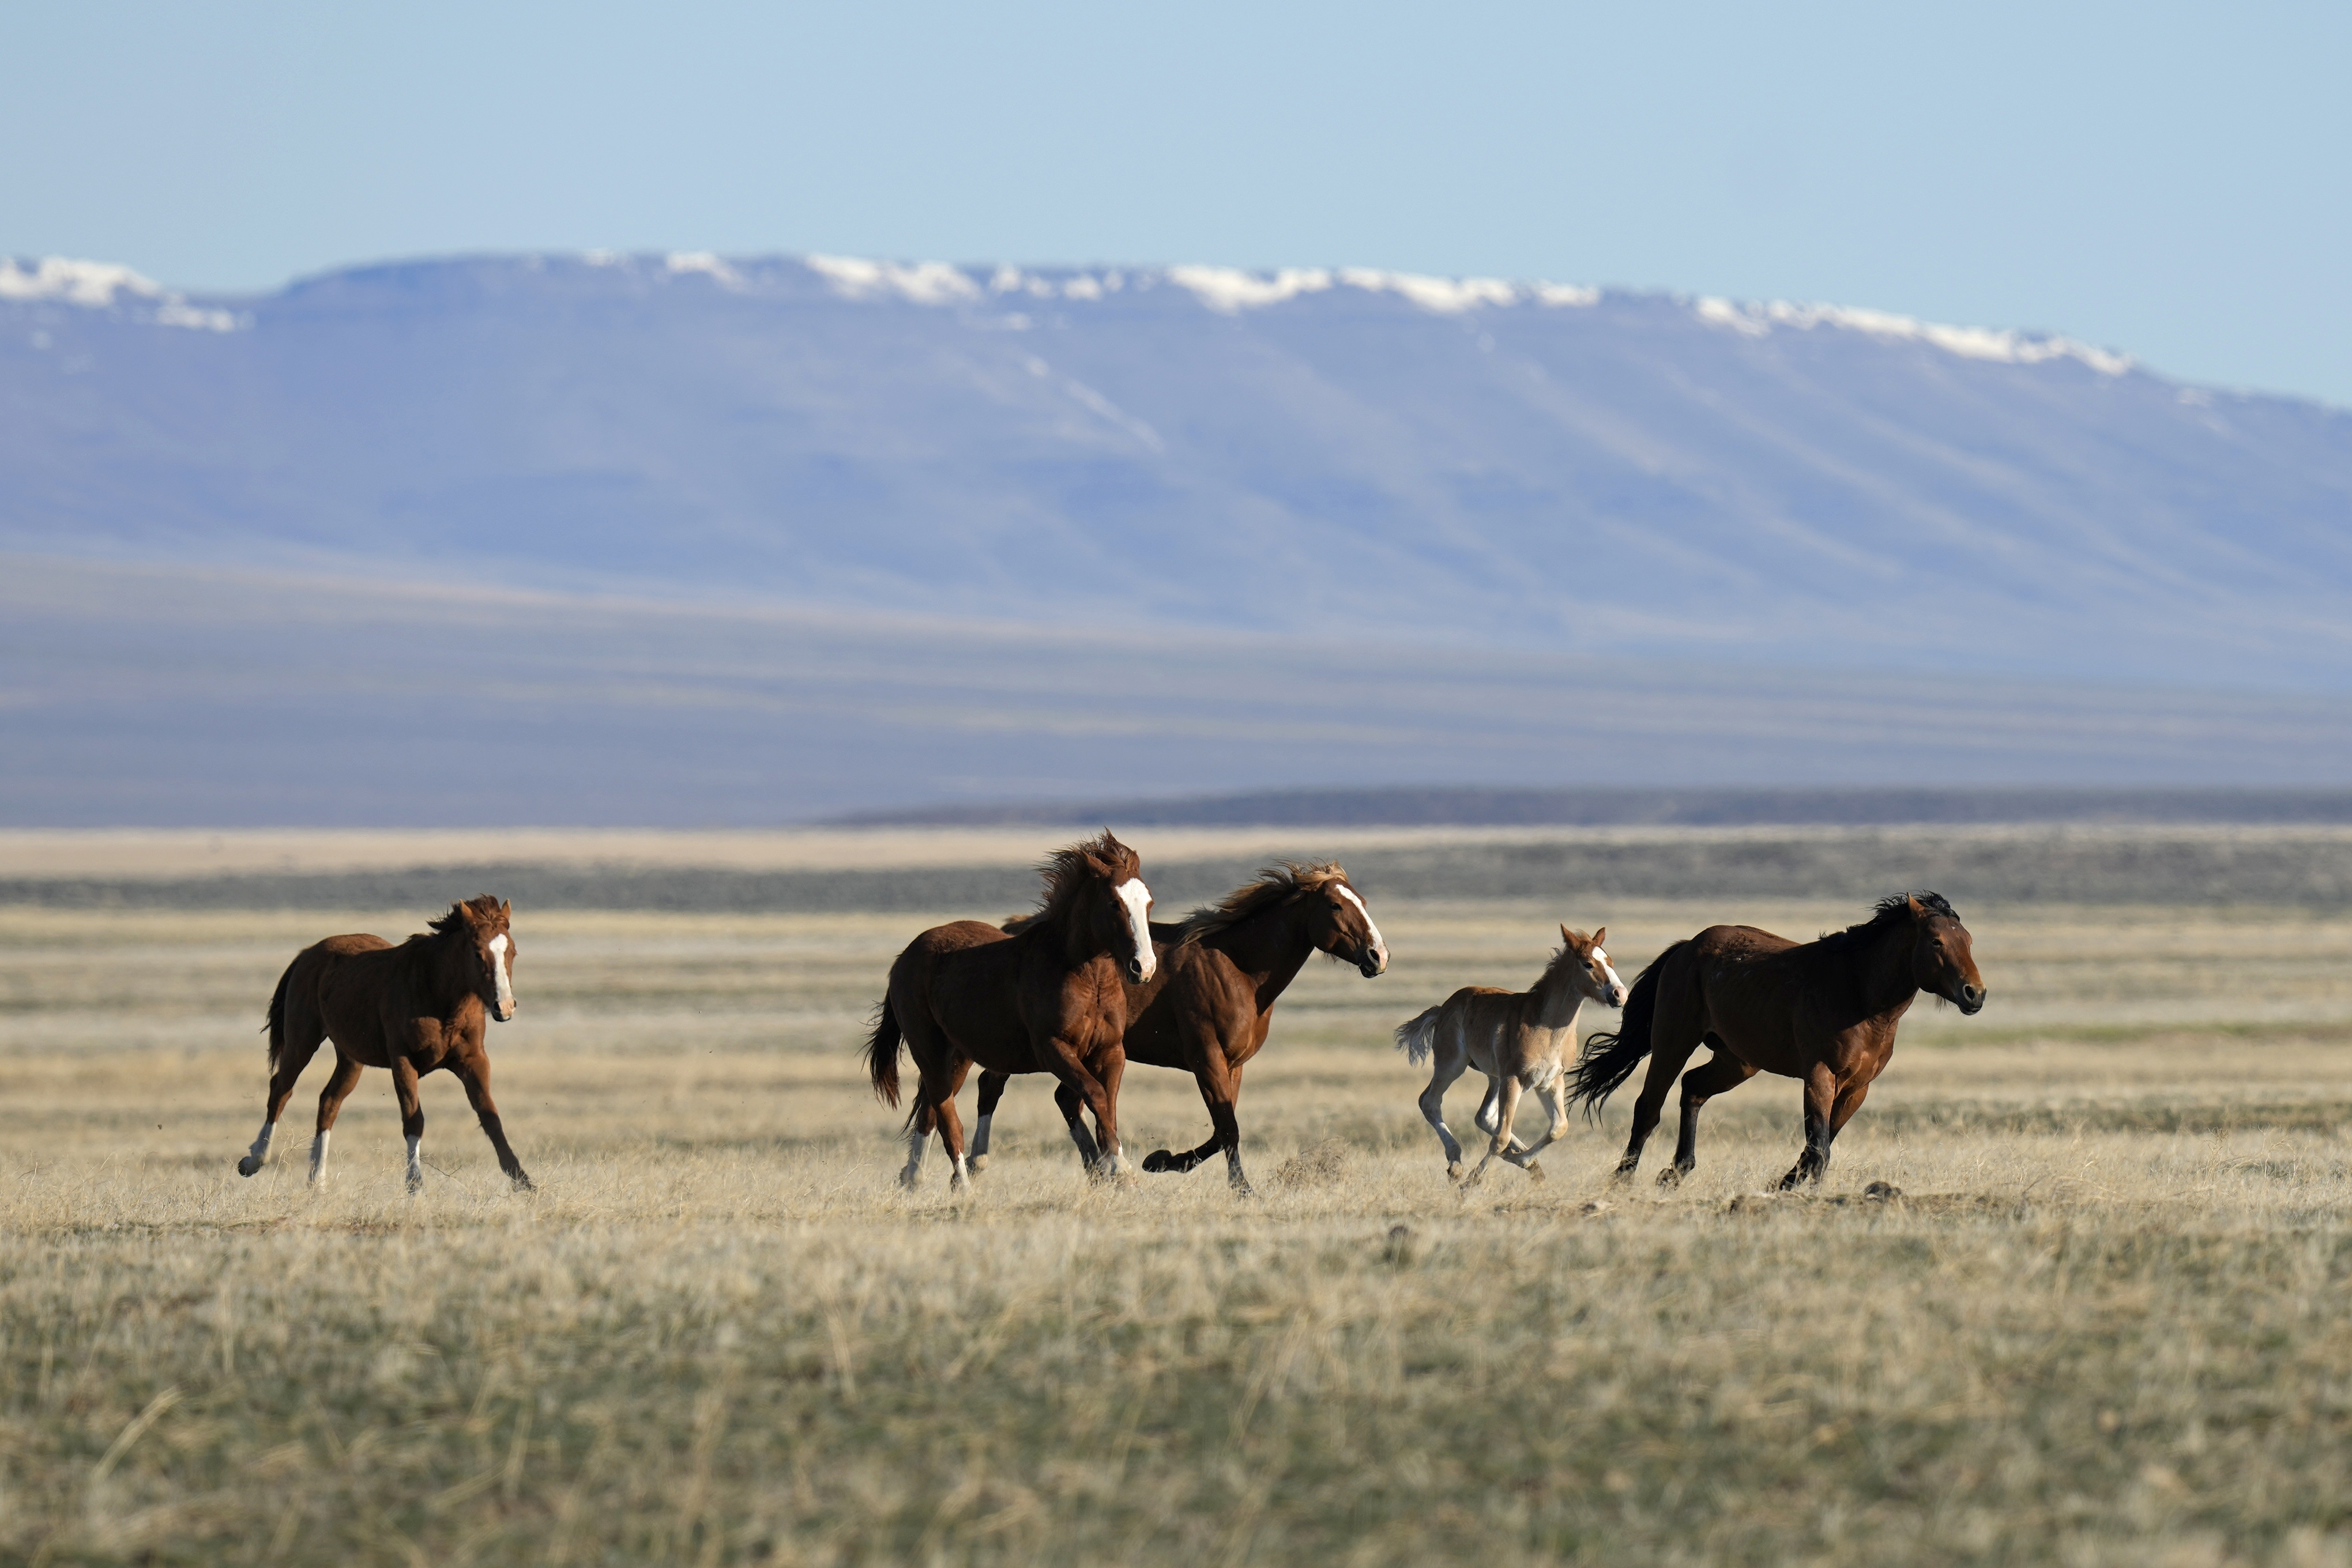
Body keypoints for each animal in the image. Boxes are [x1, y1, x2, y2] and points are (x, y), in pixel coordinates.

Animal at [234, 894, 533, 1191]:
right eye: (477, 953)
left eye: (512, 952)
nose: (504, 1006)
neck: (437, 995)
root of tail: (308, 954)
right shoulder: (403, 1061)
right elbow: (414, 1120)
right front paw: (415, 1183)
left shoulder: (473, 1061)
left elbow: (490, 1116)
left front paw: (522, 1179)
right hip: (302, 1042)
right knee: (281, 1090)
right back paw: (254, 1161)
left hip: (350, 1059)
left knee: (328, 1102)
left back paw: (317, 1181)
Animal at [865, 831, 1155, 1190]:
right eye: (1114, 903)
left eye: (1148, 903)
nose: (1144, 967)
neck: (1086, 978)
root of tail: (905, 957)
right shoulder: (1053, 1049)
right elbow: (1096, 1094)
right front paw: (1120, 1169)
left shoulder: (1111, 1051)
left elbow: (1108, 1103)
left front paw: (1114, 1165)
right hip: (929, 1052)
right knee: (948, 1119)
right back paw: (962, 1187)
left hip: (958, 1057)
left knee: (930, 1111)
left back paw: (915, 1178)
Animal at [964, 861, 1389, 1195]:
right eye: (1335, 905)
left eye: (1364, 903)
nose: (1378, 956)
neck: (1237, 970)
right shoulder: (1206, 1059)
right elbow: (1228, 1128)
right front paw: (1239, 1188)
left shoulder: (1234, 1064)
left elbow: (1222, 1129)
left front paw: (1163, 1160)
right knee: (993, 1086)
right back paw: (976, 1163)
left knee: (1065, 1099)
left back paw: (1098, 1171)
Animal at [1394, 925, 1627, 1184]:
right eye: (1587, 964)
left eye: (1610, 961)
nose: (1620, 994)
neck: (1545, 1026)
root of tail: (1443, 1008)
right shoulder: (1514, 1078)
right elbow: (1501, 1138)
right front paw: (1472, 1182)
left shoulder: (1550, 1082)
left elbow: (1558, 1127)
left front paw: (1524, 1161)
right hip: (1453, 1064)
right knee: (1430, 1102)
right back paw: (1456, 1164)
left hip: (1495, 1077)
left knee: (1484, 1116)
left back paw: (1523, 1162)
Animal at [1566, 892, 1985, 1190]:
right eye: (1936, 942)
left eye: (1967, 940)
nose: (1975, 994)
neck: (1858, 995)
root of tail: (1686, 948)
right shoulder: (1819, 1076)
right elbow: (1818, 1148)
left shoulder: (1857, 1087)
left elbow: (1822, 1144)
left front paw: (1783, 1184)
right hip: (1673, 1042)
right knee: (1649, 1108)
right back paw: (1623, 1180)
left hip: (1737, 1061)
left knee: (1693, 1089)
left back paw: (1676, 1171)